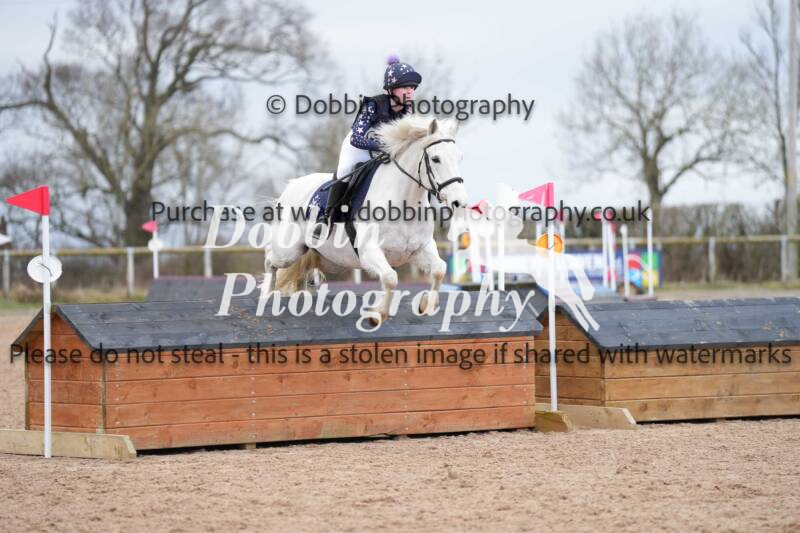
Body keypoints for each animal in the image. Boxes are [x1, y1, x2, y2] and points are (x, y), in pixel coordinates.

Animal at [264, 116, 469, 325]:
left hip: (329, 259)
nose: (459, 202)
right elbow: (390, 278)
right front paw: (378, 315)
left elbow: (439, 269)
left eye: (460, 157)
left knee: (302, 271)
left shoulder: (420, 248)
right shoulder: (369, 250)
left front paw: (426, 305)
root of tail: (291, 186)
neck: (404, 202)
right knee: (270, 258)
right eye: (436, 159)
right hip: (288, 251)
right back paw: (267, 295)